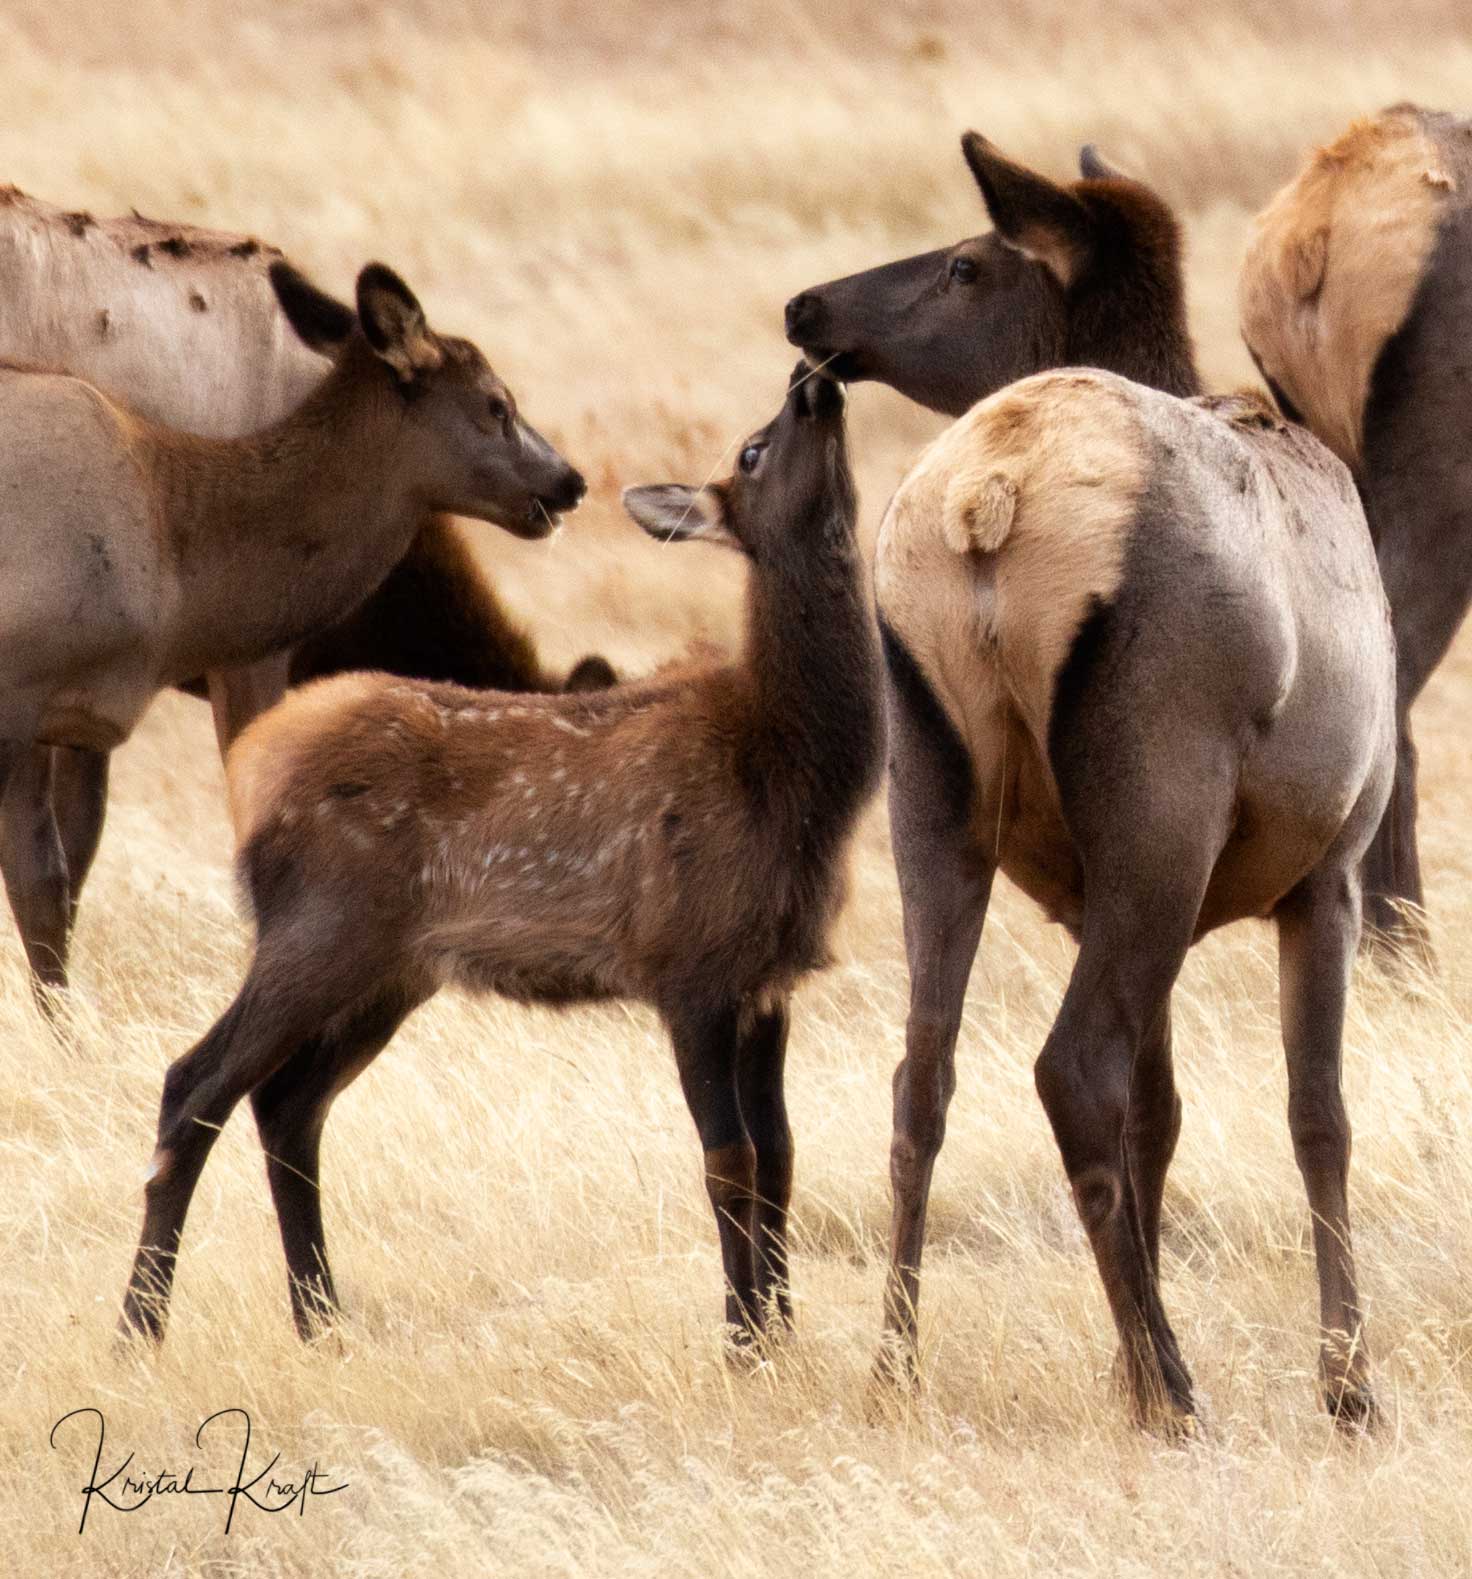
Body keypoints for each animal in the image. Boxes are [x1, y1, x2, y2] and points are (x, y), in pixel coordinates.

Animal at [0, 191, 609, 1004]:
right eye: (496, 404)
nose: (568, 481)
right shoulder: (40, 687)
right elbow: (49, 874)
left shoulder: (75, 714)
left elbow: (66, 862)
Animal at [120, 363, 878, 1351]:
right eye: (753, 449)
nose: (812, 378)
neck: (796, 777)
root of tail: (252, 765)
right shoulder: (688, 963)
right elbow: (730, 1160)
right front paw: (744, 1341)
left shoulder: (768, 982)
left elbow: (781, 1157)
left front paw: (781, 1332)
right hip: (318, 928)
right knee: (195, 1082)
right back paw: (141, 1326)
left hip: (390, 969)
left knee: (288, 1104)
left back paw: (319, 1319)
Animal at [786, 132, 1396, 1433]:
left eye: (964, 262)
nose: (806, 308)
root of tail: (989, 502)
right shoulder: (1330, 866)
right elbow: (1315, 1114)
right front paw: (1345, 1385)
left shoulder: (1083, 894)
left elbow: (1158, 1119)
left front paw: (1123, 1366)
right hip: (1161, 798)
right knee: (1068, 1067)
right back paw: (1174, 1386)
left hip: (932, 790)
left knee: (923, 1073)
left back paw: (895, 1363)